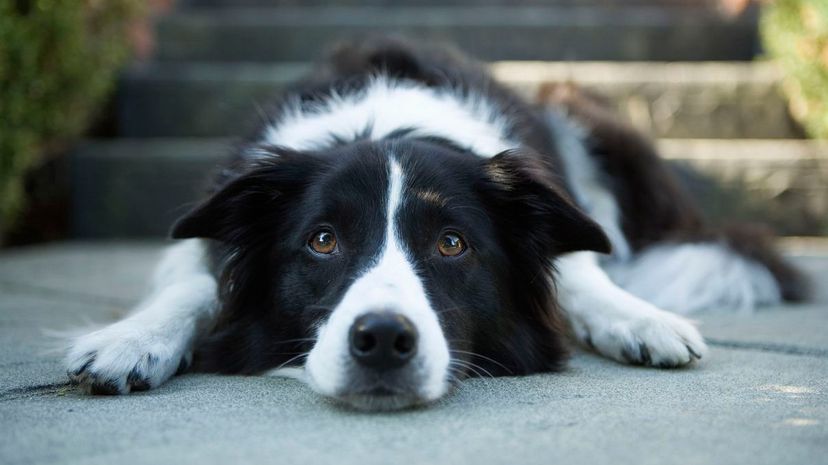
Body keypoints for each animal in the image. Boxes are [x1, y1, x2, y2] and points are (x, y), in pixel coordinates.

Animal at [66, 40, 808, 410]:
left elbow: (579, 272)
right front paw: (131, 341)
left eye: (453, 244)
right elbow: (195, 282)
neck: (386, 121)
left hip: (577, 106)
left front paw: (639, 319)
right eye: (322, 240)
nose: (382, 341)